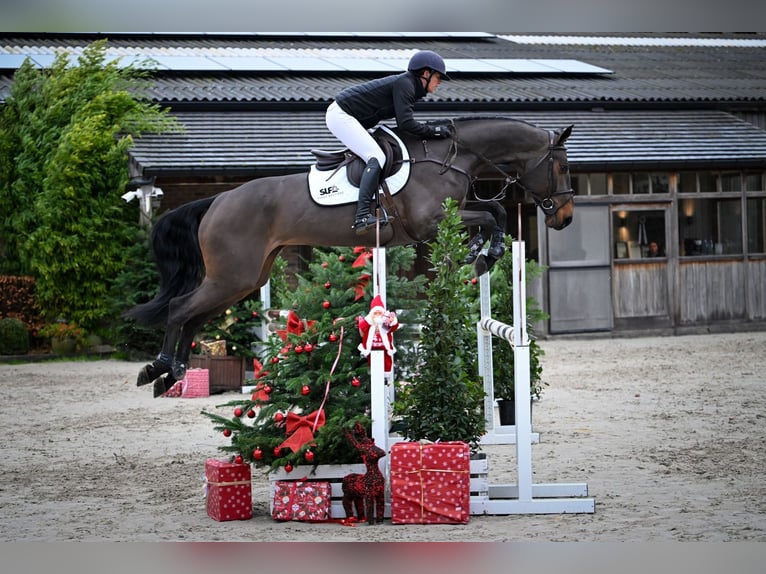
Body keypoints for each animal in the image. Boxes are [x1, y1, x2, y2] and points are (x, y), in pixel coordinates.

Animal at [126, 117, 572, 396]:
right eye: (562, 166)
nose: (565, 218)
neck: (451, 157)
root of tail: (217, 199)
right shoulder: (429, 224)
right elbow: (492, 215)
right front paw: (485, 254)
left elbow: (496, 213)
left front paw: (484, 252)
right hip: (231, 277)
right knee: (181, 310)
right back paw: (158, 368)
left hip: (245, 278)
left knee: (194, 316)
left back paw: (173, 373)